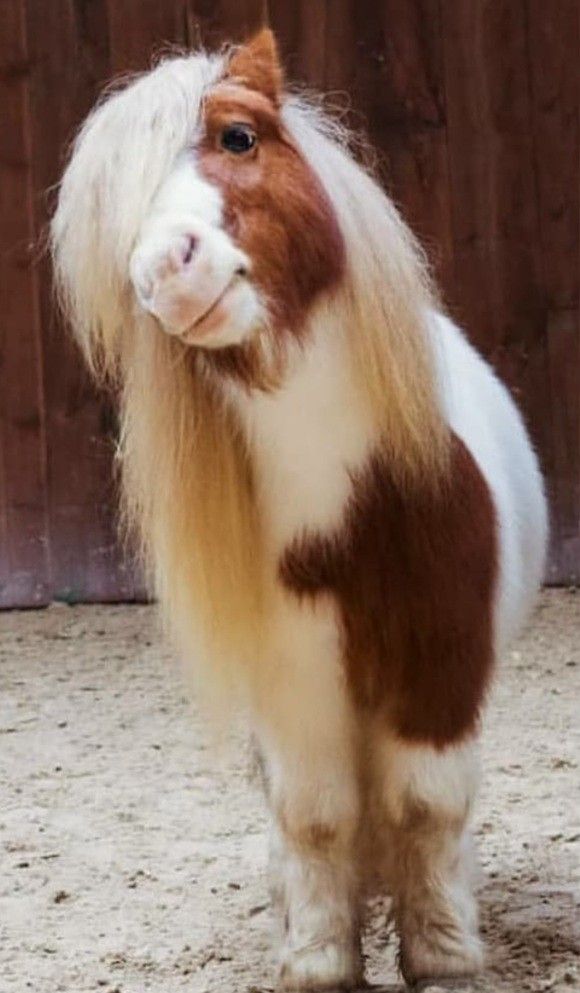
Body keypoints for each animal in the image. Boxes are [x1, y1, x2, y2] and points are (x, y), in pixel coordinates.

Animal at [51, 31, 548, 992]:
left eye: (239, 137)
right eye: (115, 217)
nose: (165, 269)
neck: (352, 520)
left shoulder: (442, 665)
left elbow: (426, 804)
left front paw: (442, 952)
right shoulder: (295, 679)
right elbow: (316, 815)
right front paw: (319, 955)